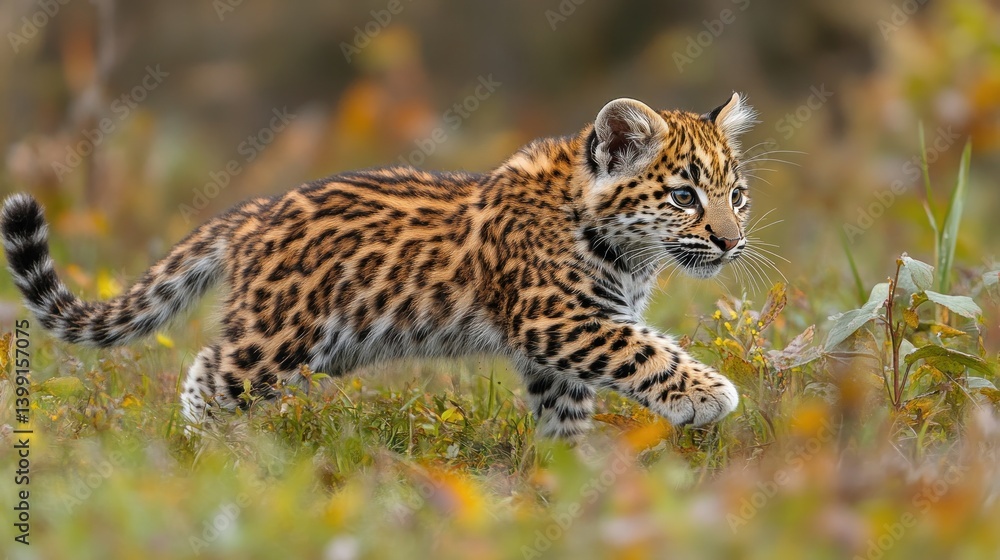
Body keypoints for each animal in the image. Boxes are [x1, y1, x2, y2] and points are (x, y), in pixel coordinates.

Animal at [1, 93, 759, 440]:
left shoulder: (557, 344)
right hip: (279, 339)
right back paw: (207, 455)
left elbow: (570, 404)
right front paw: (708, 395)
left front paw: (569, 468)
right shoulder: (558, 318)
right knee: (210, 374)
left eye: (737, 195)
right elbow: (643, 350)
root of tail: (253, 214)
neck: (627, 254)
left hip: (324, 346)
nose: (731, 243)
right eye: (684, 196)